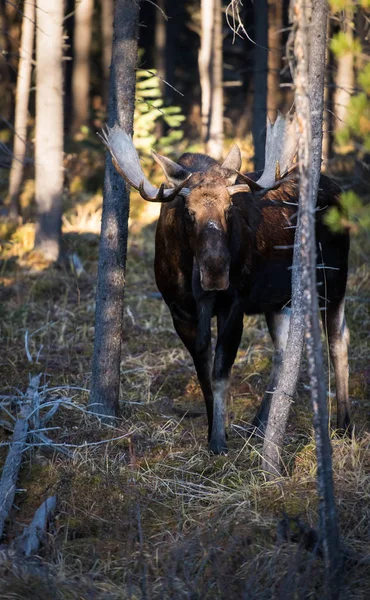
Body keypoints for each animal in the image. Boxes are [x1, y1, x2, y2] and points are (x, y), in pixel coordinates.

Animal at [99, 116, 350, 454]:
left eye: (229, 208)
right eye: (189, 212)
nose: (217, 271)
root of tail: (339, 190)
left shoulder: (235, 305)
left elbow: (220, 372)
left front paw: (219, 439)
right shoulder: (180, 311)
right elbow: (203, 373)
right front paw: (213, 433)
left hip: (335, 278)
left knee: (338, 339)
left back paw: (343, 425)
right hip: (277, 301)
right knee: (284, 350)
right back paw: (259, 425)